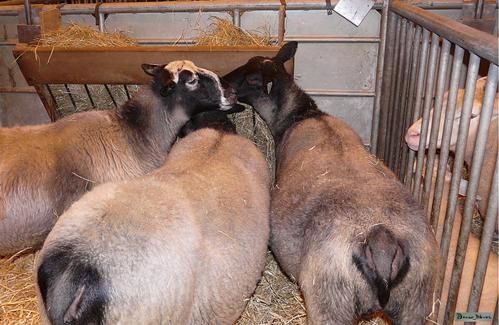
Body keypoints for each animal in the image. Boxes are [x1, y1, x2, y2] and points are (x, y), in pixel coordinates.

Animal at [225, 41, 440, 322]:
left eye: (252, 78)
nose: (224, 82)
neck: (305, 114)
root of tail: (381, 240)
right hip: (414, 303)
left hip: (330, 301)